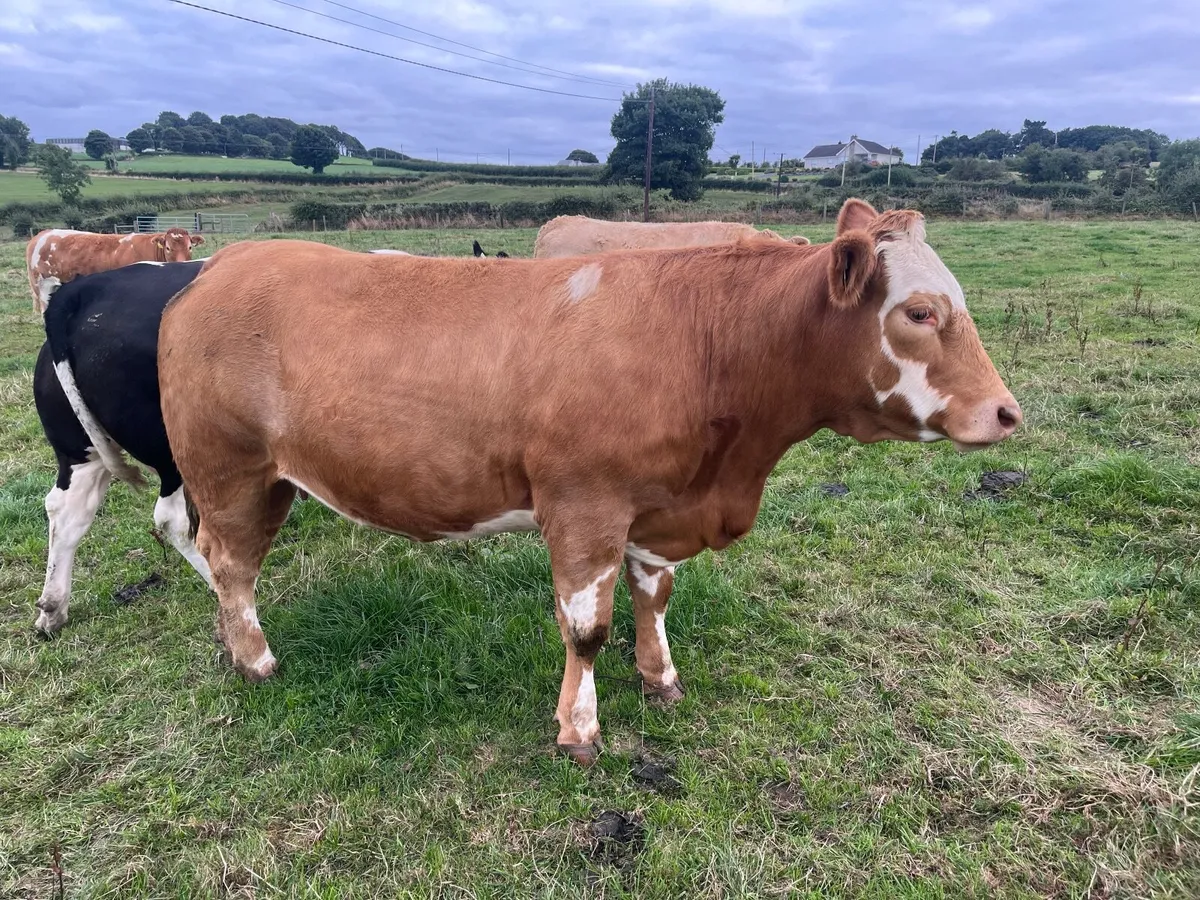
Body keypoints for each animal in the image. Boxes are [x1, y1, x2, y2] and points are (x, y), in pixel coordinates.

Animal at [32, 260, 212, 636]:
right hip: (173, 444)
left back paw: (52, 609)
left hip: (79, 449)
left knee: (66, 509)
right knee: (172, 519)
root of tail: (79, 292)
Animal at [156, 198, 1021, 765]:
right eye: (918, 312)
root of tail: (225, 261)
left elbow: (655, 597)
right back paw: (254, 658)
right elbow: (586, 629)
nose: (1007, 413)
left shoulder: (658, 507)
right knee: (229, 562)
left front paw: (660, 676)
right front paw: (579, 728)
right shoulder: (584, 507)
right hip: (230, 469)